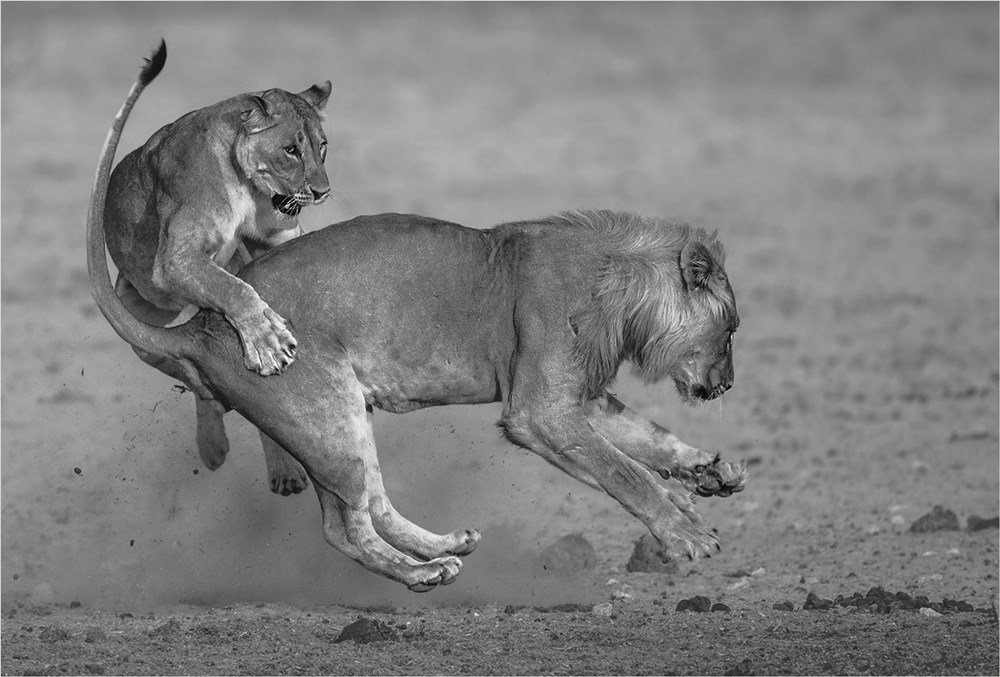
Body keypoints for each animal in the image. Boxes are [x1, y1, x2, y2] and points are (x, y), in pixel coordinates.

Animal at [102, 41, 331, 494]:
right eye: (291, 150)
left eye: (322, 146)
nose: (322, 192)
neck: (247, 184)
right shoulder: (175, 259)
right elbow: (233, 288)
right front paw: (266, 342)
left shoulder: (275, 237)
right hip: (142, 313)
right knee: (190, 374)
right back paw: (215, 445)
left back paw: (280, 468)